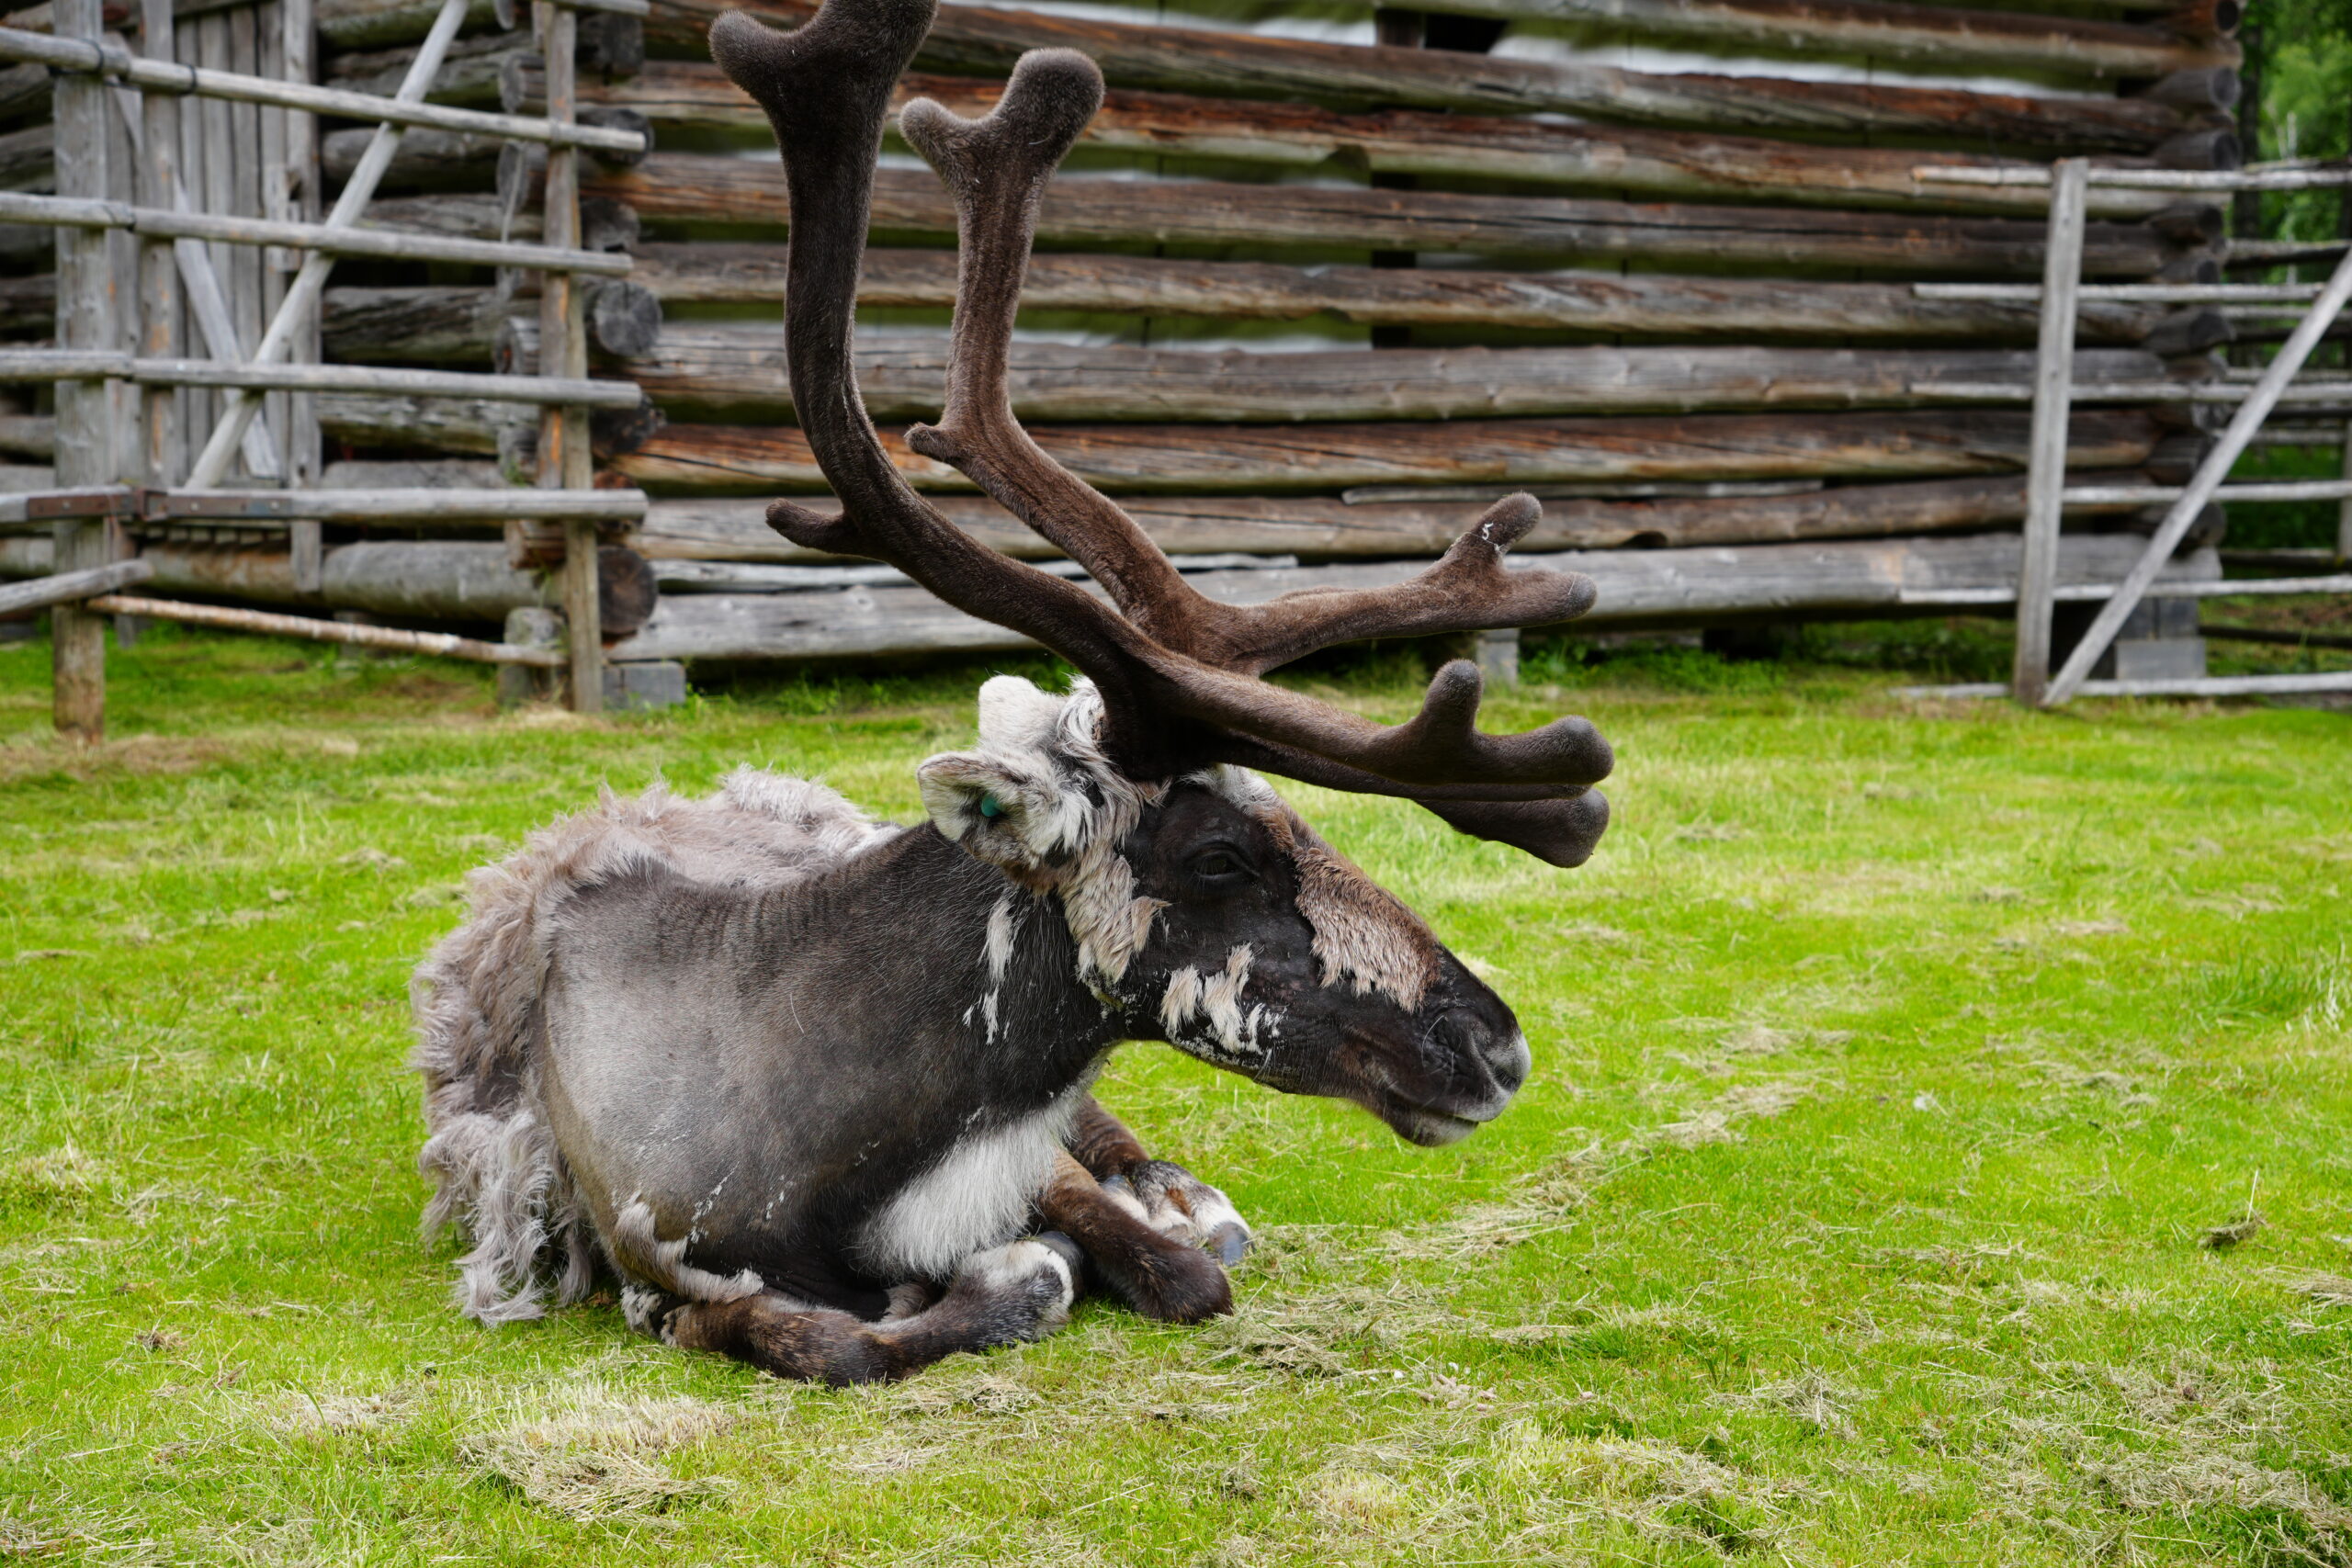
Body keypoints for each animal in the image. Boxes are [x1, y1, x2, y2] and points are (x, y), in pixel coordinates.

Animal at [408, 0, 1615, 1386]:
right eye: (1217, 855)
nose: (1496, 1043)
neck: (826, 1140)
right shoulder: (656, 1264)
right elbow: (870, 1328)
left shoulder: (1027, 1165)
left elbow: (1153, 1264)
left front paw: (1149, 1232)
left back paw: (1184, 1191)